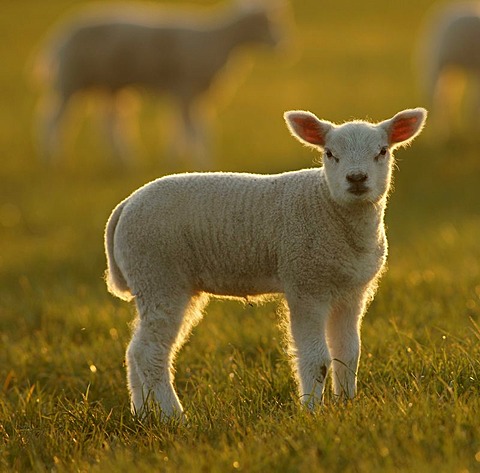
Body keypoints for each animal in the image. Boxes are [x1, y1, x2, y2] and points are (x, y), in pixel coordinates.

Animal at [35, 0, 282, 167]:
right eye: (266, 23)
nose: (282, 45)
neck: (219, 40)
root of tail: (59, 37)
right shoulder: (185, 88)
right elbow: (192, 129)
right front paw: (200, 162)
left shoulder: (190, 92)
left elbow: (192, 128)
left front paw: (177, 158)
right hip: (70, 79)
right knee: (54, 120)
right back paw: (53, 158)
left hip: (106, 84)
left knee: (108, 123)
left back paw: (123, 159)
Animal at [105, 106, 428, 416]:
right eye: (329, 154)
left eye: (382, 151)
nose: (357, 178)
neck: (329, 206)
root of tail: (125, 206)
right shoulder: (305, 284)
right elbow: (317, 359)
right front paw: (312, 411)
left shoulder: (352, 292)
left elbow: (348, 354)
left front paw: (347, 405)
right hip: (158, 275)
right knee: (149, 353)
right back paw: (174, 416)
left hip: (156, 282)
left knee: (134, 351)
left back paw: (143, 413)